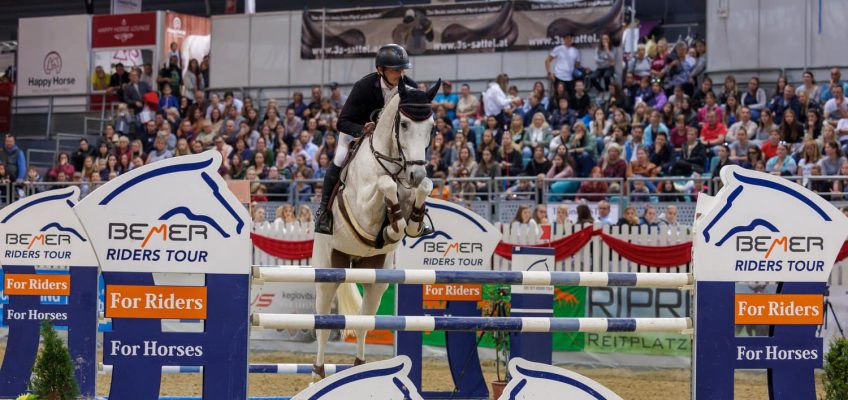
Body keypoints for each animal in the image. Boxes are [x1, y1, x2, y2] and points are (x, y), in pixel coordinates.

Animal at [314, 79, 444, 376]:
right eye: (404, 125)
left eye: (432, 126)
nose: (415, 173)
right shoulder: (362, 206)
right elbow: (385, 185)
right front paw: (391, 224)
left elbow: (421, 194)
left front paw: (403, 223)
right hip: (328, 271)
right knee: (323, 326)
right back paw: (317, 375)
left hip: (376, 277)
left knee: (364, 321)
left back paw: (359, 368)